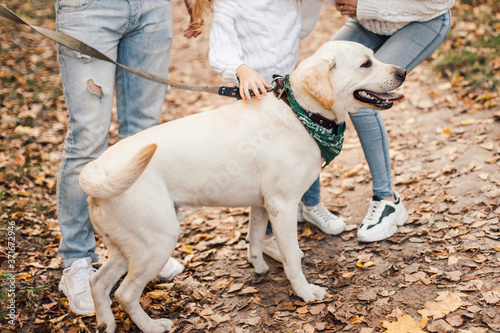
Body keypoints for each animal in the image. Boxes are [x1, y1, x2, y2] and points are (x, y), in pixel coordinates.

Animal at [79, 40, 406, 330]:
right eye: (366, 64)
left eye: (373, 56)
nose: (403, 71)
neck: (300, 113)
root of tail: (98, 167)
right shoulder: (283, 206)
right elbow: (292, 258)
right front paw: (304, 292)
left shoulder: (260, 205)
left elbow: (256, 238)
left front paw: (258, 266)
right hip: (157, 241)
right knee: (125, 293)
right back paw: (152, 326)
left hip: (129, 246)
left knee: (98, 282)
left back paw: (105, 324)